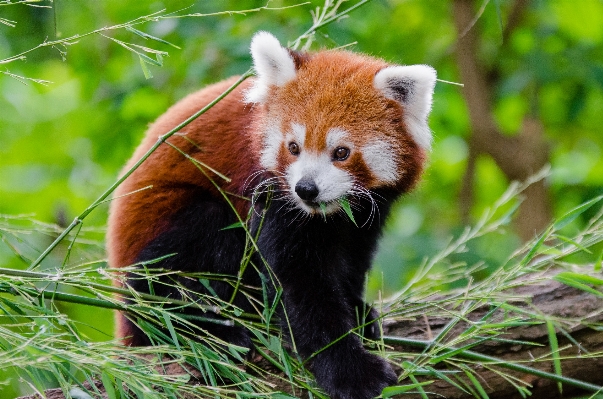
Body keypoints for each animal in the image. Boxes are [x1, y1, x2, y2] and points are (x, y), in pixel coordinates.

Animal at [108, 32, 436, 399]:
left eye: (341, 152)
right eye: (293, 147)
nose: (306, 189)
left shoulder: (366, 212)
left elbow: (351, 258)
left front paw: (357, 310)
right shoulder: (271, 194)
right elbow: (297, 282)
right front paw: (350, 370)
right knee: (178, 261)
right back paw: (211, 330)